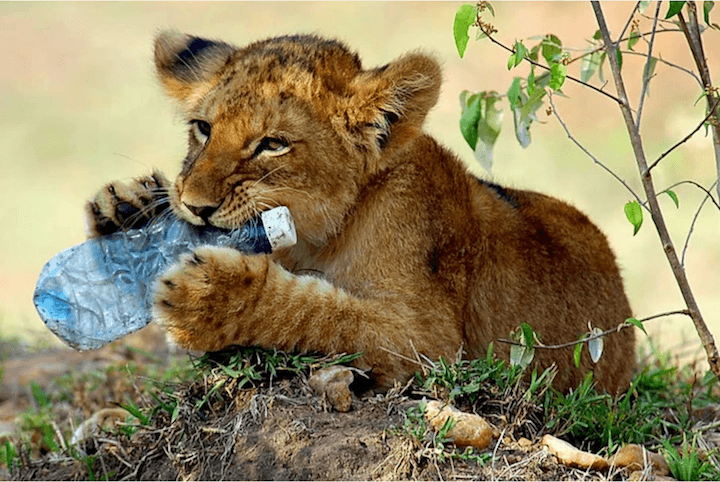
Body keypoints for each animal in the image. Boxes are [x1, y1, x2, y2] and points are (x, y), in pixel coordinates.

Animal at [86, 31, 636, 393]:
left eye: (273, 144)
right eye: (202, 128)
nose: (196, 207)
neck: (316, 240)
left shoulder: (433, 344)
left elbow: (323, 312)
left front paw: (211, 296)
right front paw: (126, 209)